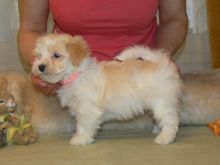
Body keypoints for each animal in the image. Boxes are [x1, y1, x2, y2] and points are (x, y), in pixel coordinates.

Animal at [31, 33, 182, 144]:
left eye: (56, 55)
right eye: (39, 56)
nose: (40, 66)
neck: (76, 74)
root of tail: (162, 64)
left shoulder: (86, 109)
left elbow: (83, 125)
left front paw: (80, 139)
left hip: (162, 103)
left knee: (170, 120)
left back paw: (164, 138)